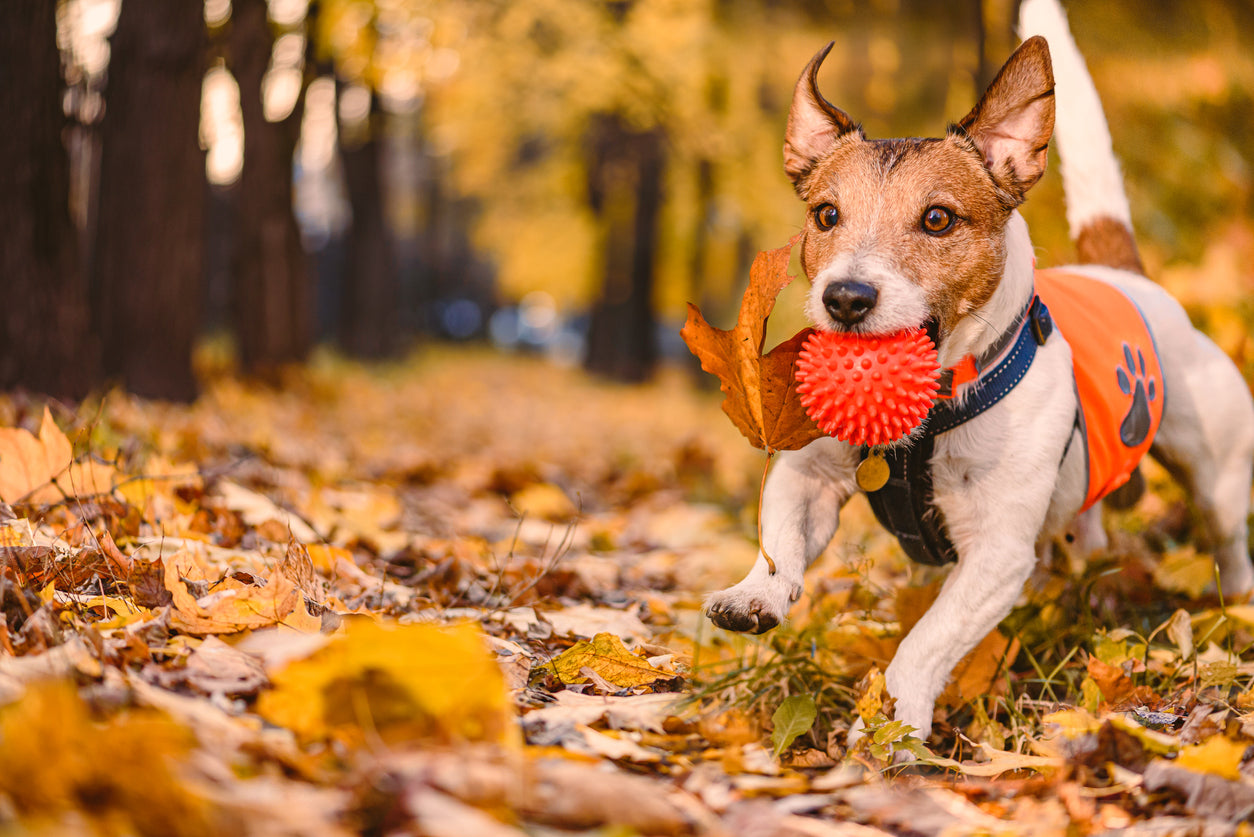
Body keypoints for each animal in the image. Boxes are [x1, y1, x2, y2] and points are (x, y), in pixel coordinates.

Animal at [707, 0, 1254, 747]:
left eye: (938, 218)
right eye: (825, 215)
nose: (845, 297)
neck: (928, 418)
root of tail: (1124, 273)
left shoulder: (996, 551)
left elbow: (926, 640)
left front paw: (893, 722)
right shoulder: (807, 475)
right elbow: (781, 538)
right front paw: (756, 592)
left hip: (1215, 473)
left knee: (1228, 536)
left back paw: (1237, 603)